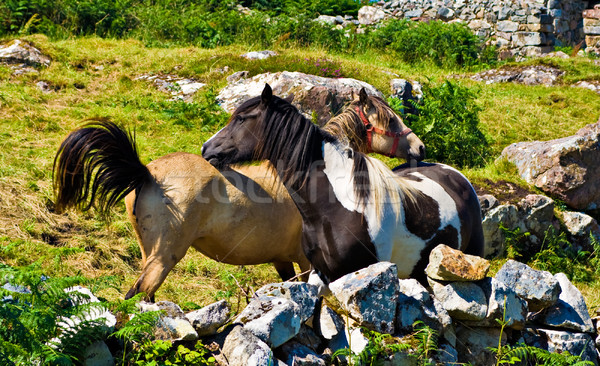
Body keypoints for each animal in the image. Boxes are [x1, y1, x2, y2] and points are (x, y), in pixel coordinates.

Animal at [54, 89, 418, 300]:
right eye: (391, 120)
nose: (419, 148)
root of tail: (146, 172)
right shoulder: (304, 262)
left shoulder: (282, 260)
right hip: (164, 257)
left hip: (150, 254)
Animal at [204, 84, 486, 288]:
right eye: (390, 120)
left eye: (241, 119)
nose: (207, 148)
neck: (335, 206)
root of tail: (455, 175)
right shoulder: (320, 271)